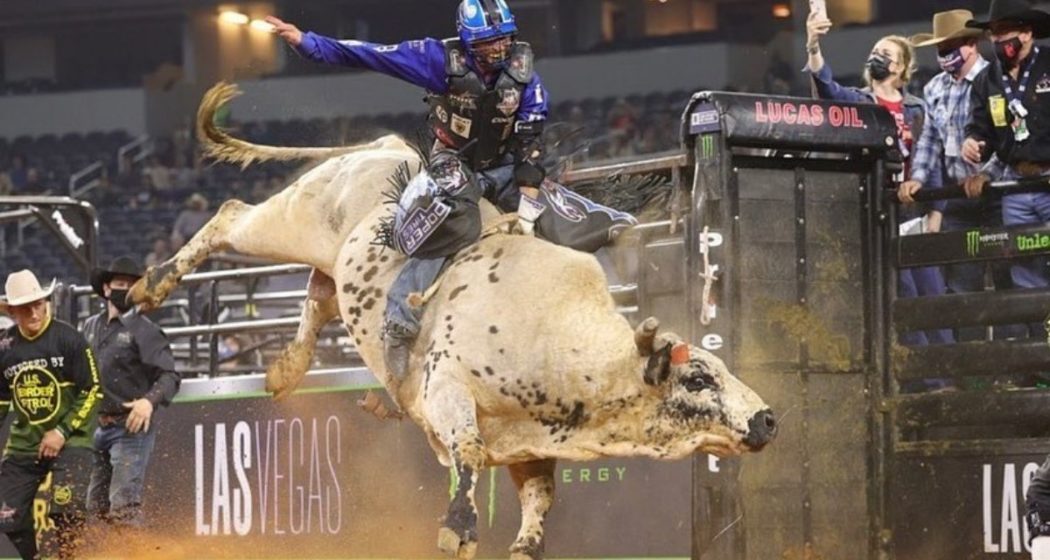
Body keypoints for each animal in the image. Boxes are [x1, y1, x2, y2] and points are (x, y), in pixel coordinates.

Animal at [127, 84, 776, 558]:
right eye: (698, 379)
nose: (767, 419)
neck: (562, 343)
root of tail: (383, 148)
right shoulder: (447, 391)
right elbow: (466, 452)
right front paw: (458, 528)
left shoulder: (531, 443)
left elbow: (540, 498)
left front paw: (524, 545)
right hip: (295, 217)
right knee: (231, 216)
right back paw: (150, 284)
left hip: (335, 267)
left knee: (319, 297)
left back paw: (285, 371)